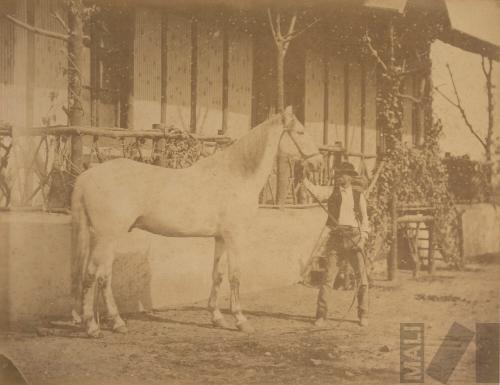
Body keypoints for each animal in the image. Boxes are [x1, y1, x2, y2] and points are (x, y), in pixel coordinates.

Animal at [71, 106, 320, 336]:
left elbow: (217, 275)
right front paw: (241, 320)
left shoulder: (221, 238)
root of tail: (87, 176)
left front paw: (217, 318)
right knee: (93, 275)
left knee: (102, 276)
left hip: (102, 238)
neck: (237, 175)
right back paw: (93, 326)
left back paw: (114, 323)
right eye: (300, 131)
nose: (317, 163)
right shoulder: (235, 237)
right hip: (107, 237)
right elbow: (235, 277)